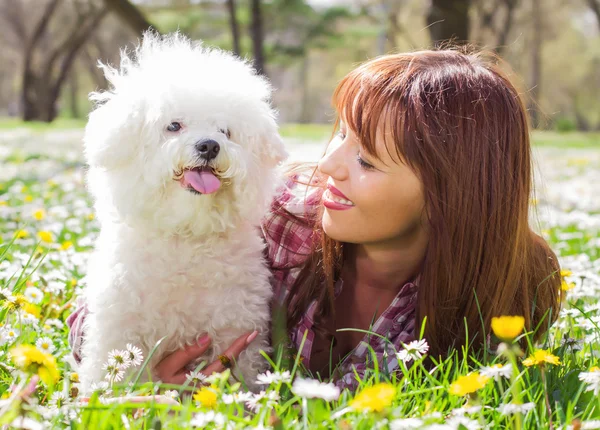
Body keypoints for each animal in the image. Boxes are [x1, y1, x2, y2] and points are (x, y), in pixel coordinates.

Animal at [78, 31, 288, 394]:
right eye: (173, 125)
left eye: (225, 132)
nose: (209, 145)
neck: (187, 237)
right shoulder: (120, 330)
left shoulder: (236, 328)